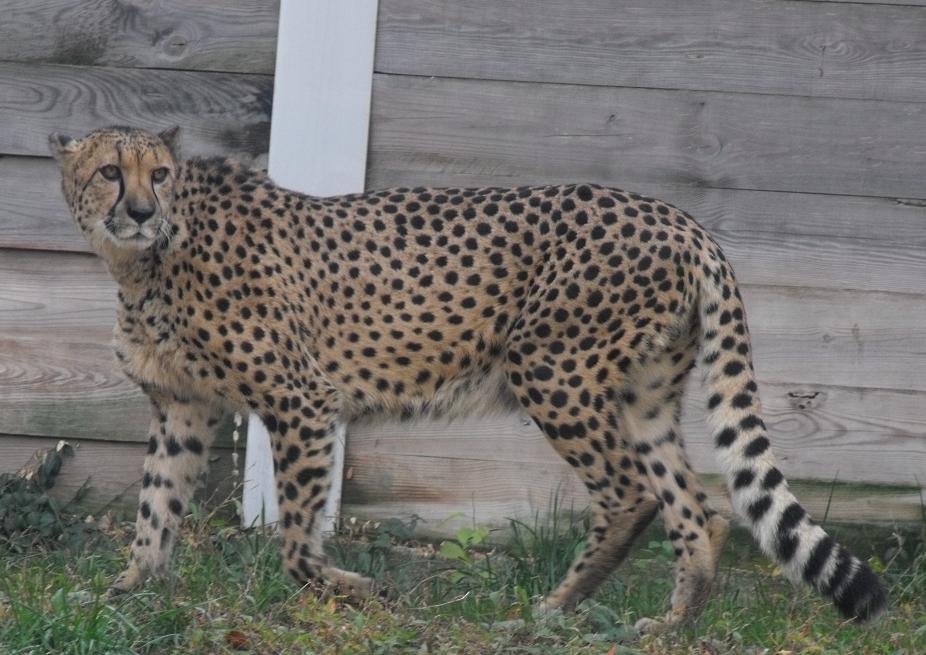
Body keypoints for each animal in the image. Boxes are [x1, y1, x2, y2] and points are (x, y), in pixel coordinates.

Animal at [49, 125, 886, 632]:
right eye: (109, 172)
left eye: (158, 174)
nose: (137, 208)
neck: (147, 259)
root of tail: (678, 218)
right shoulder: (182, 406)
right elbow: (155, 509)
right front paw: (124, 591)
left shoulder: (302, 402)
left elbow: (293, 536)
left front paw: (352, 589)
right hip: (644, 393)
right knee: (697, 506)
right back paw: (668, 624)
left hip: (551, 367)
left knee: (631, 494)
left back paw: (550, 608)